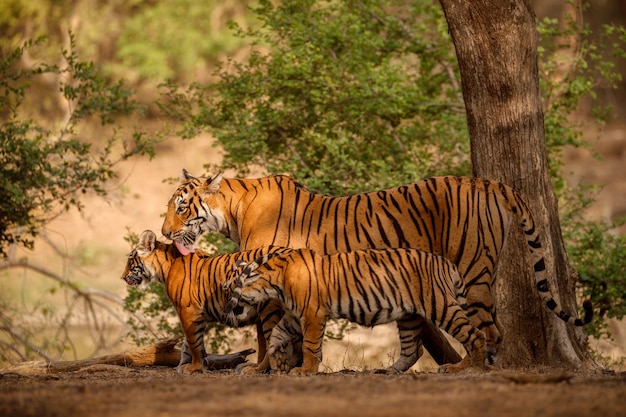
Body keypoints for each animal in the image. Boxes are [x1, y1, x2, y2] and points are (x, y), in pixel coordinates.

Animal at [122, 231, 300, 374]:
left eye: (130, 261)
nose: (123, 277)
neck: (165, 267)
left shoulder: (188, 310)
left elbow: (194, 343)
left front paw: (193, 367)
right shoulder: (197, 314)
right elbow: (189, 344)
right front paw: (187, 365)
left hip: (269, 310)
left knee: (274, 344)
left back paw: (256, 370)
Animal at [223, 247, 488, 374]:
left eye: (227, 289)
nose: (225, 312)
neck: (274, 283)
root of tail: (446, 262)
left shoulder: (312, 314)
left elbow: (310, 346)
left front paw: (305, 370)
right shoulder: (294, 316)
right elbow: (275, 337)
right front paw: (272, 365)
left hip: (441, 305)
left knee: (476, 335)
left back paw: (468, 367)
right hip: (409, 317)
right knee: (413, 349)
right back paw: (387, 371)